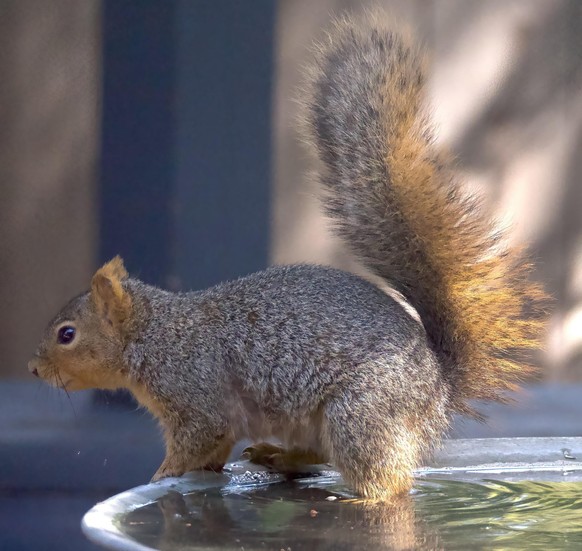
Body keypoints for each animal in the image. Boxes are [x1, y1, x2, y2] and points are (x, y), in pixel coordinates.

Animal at [27, 12, 548, 502]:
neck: (155, 334)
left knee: (387, 482)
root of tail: (438, 389)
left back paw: (358, 500)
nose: (34, 369)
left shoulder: (197, 393)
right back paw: (277, 457)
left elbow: (200, 440)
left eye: (67, 334)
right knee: (320, 458)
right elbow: (212, 453)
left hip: (359, 413)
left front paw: (161, 475)